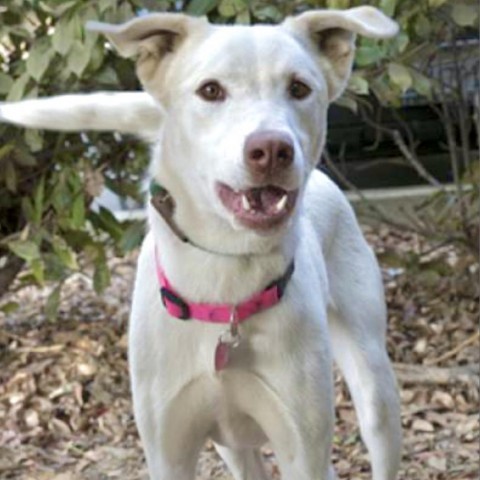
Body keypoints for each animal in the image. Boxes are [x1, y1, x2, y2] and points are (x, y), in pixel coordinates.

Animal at [0, 5, 404, 478]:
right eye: (210, 90)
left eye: (299, 88)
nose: (272, 149)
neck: (226, 277)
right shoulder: (168, 449)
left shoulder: (302, 445)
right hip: (234, 446)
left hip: (373, 385)